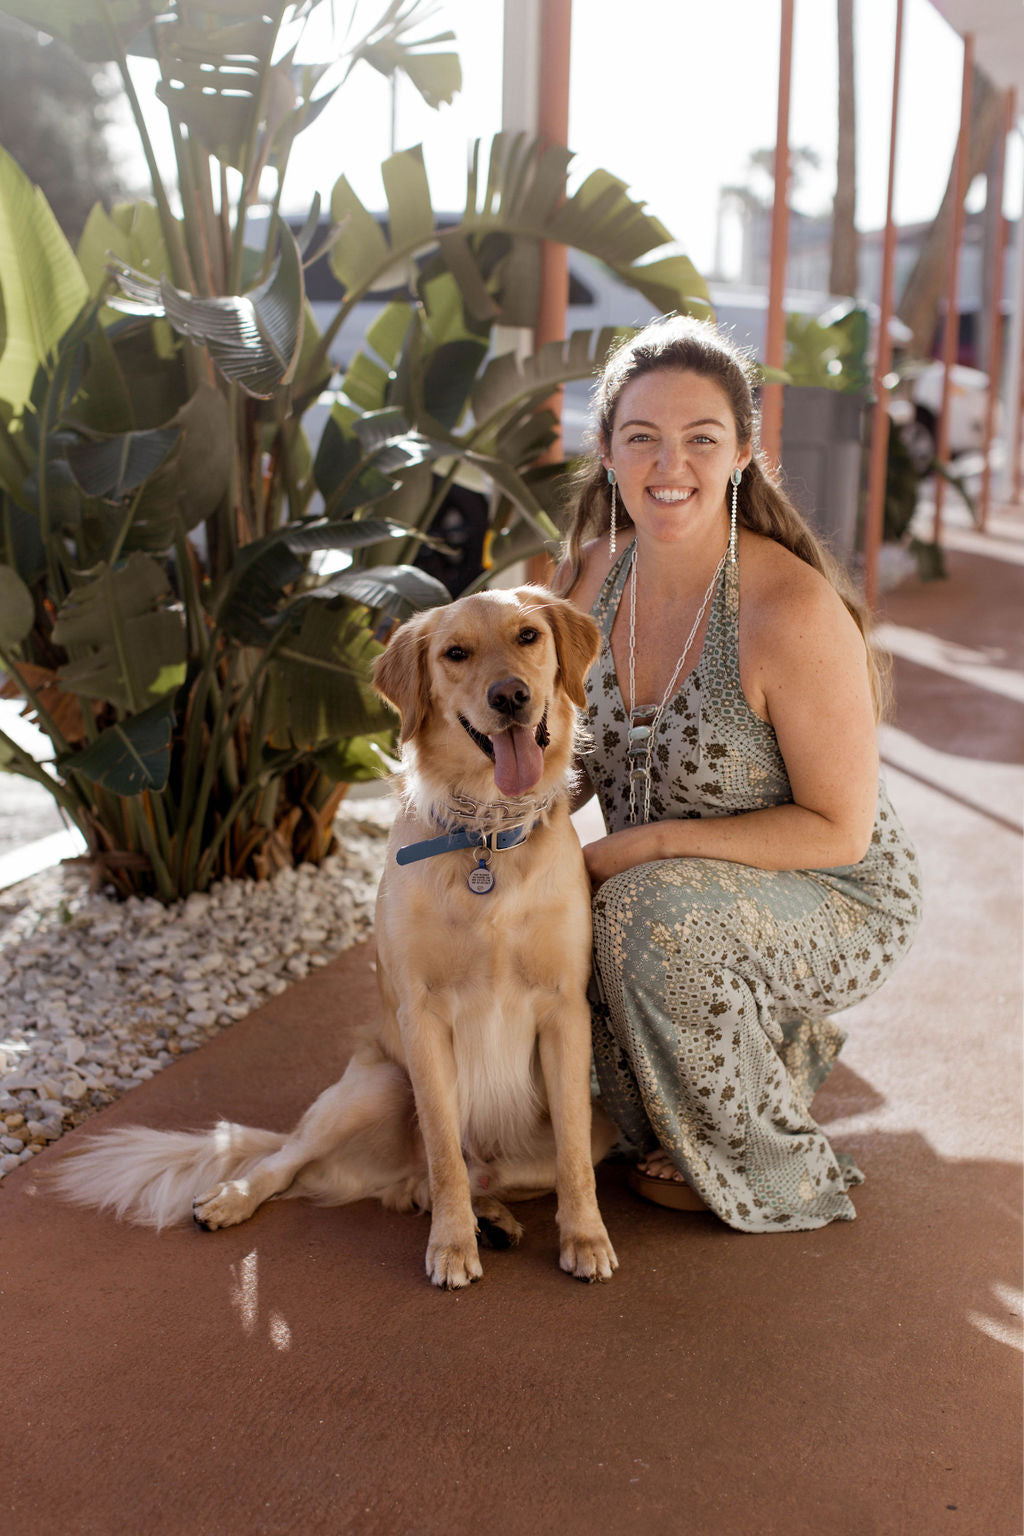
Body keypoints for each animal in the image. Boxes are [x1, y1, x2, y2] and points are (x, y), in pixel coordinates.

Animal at [54, 583, 617, 1284]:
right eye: (456, 653)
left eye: (528, 636)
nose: (510, 696)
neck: (486, 835)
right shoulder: (420, 1017)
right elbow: (442, 1148)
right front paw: (450, 1245)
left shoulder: (565, 1012)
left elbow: (570, 1155)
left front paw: (584, 1237)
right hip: (375, 1087)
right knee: (295, 1162)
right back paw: (234, 1199)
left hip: (597, 1129)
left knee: (447, 1180)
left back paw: (494, 1218)